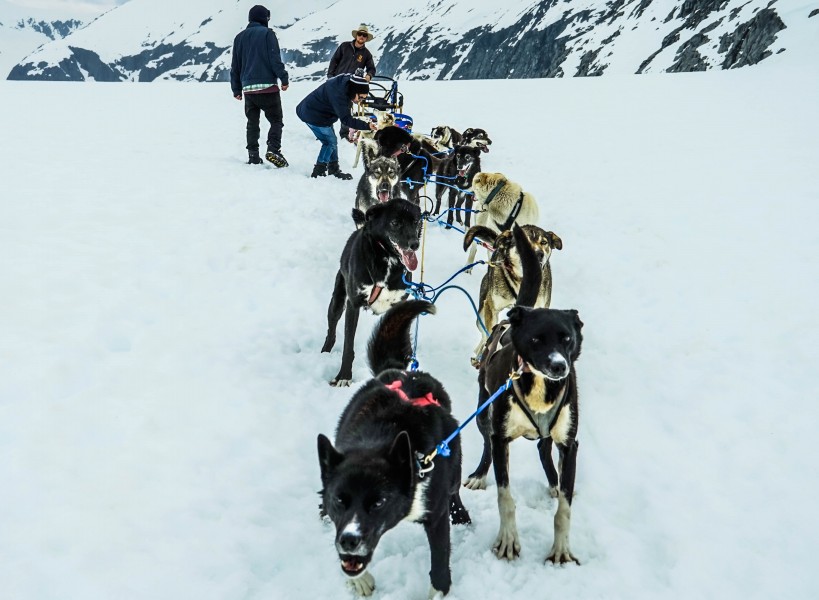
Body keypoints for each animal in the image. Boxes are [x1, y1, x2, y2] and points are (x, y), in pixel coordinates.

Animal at [320, 199, 422, 386]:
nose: (414, 244)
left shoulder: (400, 306)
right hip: (337, 302)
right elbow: (348, 346)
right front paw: (344, 377)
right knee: (331, 331)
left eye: (415, 221)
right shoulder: (353, 305)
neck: (387, 259)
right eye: (395, 223)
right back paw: (325, 352)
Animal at [320, 298, 474, 596]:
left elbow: (440, 566)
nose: (349, 541)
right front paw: (359, 580)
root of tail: (405, 372)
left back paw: (461, 514)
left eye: (378, 502)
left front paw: (440, 588)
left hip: (454, 464)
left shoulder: (436, 516)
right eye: (339, 500)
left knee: (455, 490)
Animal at [464, 224, 560, 366]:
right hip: (482, 312)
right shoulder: (491, 308)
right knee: (484, 334)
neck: (523, 279)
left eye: (544, 242)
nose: (539, 254)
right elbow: (489, 334)